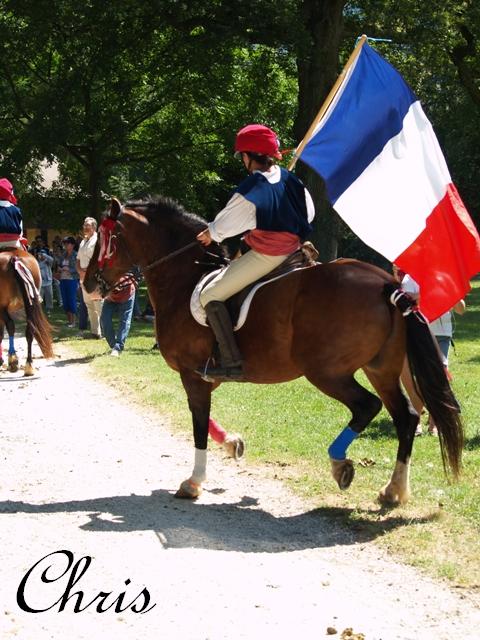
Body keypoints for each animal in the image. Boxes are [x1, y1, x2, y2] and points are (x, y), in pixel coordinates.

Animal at [0, 246, 53, 376]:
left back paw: (13, 359)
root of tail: (14, 259)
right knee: (30, 329)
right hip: (29, 305)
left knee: (11, 325)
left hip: (2, 306)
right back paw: (28, 365)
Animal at [84, 198, 464, 502]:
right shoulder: (202, 377)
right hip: (380, 368)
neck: (184, 280)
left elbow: (199, 423)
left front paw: (194, 481)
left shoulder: (193, 375)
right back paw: (393, 490)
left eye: (103, 240)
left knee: (367, 406)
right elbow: (206, 420)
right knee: (406, 417)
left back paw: (340, 465)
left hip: (328, 372)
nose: (89, 283)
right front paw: (232, 443)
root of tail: (387, 283)